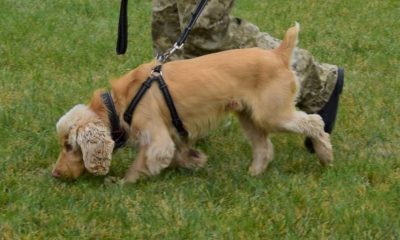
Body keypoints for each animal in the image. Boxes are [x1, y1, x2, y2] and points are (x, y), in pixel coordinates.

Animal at [54, 23, 334, 183]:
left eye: (69, 146)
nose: (56, 173)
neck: (119, 104)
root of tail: (279, 55)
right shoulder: (171, 135)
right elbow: (178, 154)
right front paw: (195, 160)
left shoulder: (157, 139)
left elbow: (141, 163)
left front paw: (122, 183)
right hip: (249, 116)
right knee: (264, 147)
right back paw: (253, 174)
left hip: (273, 114)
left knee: (315, 122)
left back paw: (325, 156)